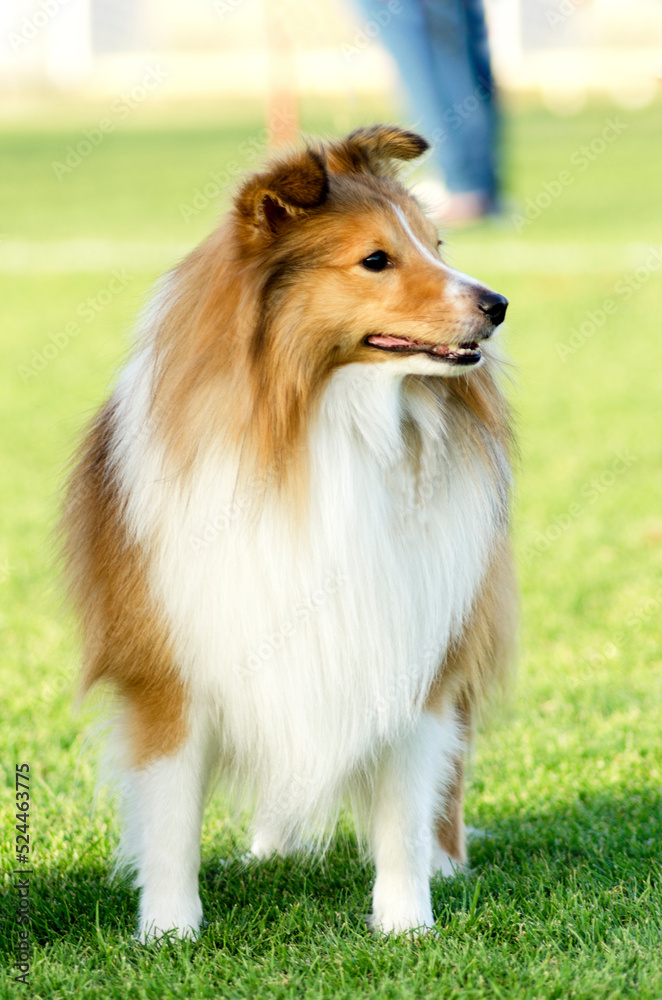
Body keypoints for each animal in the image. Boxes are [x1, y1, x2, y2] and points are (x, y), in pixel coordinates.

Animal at [62, 125, 520, 936]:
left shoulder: (411, 644)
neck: (326, 421)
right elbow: (171, 813)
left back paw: (444, 860)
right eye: (376, 259)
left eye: (437, 244)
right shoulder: (172, 664)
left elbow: (404, 804)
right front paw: (168, 931)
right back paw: (269, 850)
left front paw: (407, 924)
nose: (497, 304)